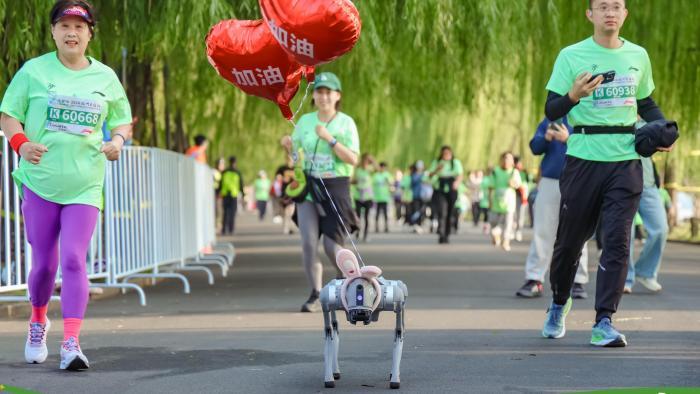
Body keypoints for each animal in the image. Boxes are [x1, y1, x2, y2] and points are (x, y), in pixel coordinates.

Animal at [320, 249, 408, 388]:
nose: (360, 314)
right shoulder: (327, 301)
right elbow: (328, 336)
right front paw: (329, 379)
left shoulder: (398, 302)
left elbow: (398, 334)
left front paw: (395, 380)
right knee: (334, 328)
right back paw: (335, 372)